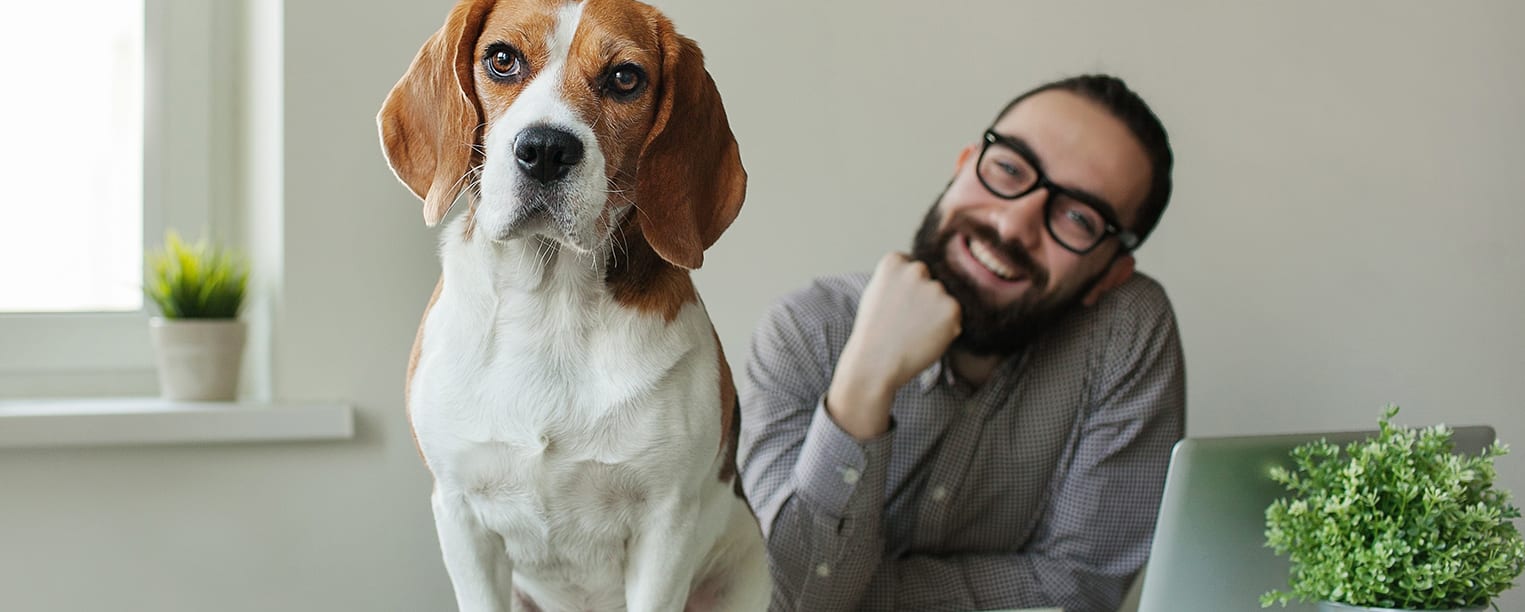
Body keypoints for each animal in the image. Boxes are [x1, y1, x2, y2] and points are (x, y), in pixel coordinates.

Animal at [376, 1, 768, 610]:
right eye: (502, 59)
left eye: (625, 78)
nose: (544, 150)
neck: (549, 305)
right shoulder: (460, 515)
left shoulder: (667, 527)